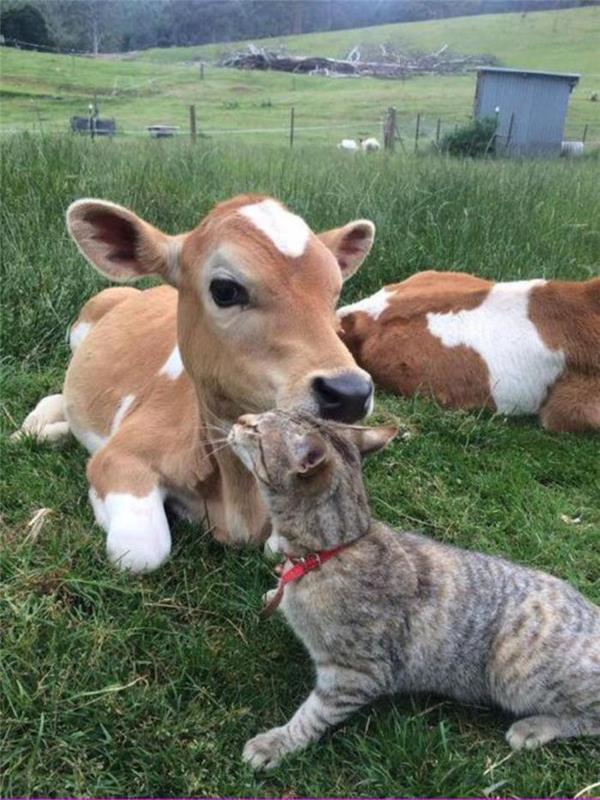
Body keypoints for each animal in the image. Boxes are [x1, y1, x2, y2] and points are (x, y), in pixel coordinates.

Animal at [14, 194, 376, 568]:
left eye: (335, 293)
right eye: (225, 289)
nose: (350, 392)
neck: (237, 503)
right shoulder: (119, 457)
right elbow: (139, 550)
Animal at [229, 412, 600, 768]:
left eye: (257, 429)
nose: (238, 420)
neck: (330, 551)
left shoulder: (356, 674)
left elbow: (314, 714)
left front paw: (277, 743)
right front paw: (275, 594)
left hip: (512, 668)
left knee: (591, 718)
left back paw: (534, 727)